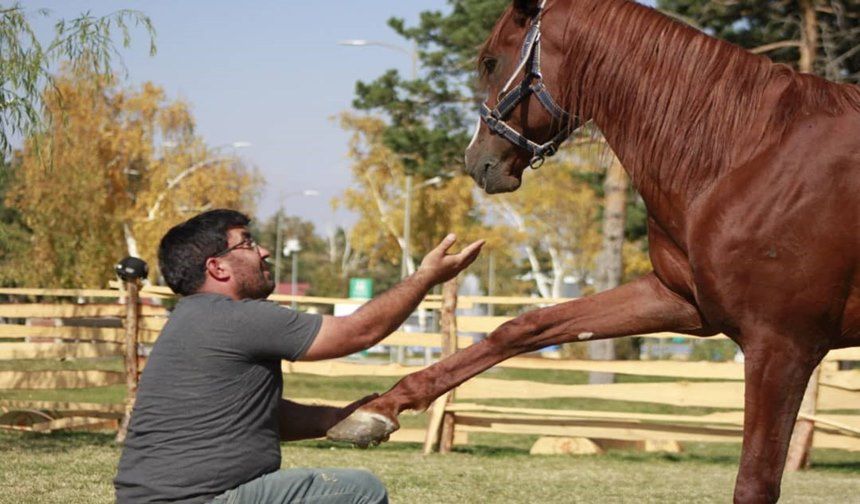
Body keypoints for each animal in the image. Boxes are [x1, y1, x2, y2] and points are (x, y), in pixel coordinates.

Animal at [330, 1, 860, 502]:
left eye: (490, 61)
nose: (476, 161)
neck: (750, 155)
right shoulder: (682, 302)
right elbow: (526, 327)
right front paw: (375, 409)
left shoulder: (780, 347)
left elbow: (754, 484)